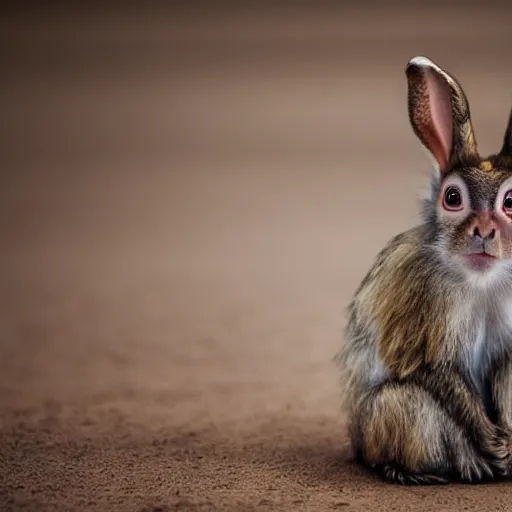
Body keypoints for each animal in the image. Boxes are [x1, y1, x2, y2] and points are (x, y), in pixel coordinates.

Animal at [336, 56, 512, 484]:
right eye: (452, 197)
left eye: (511, 202)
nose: (485, 231)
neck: (480, 281)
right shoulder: (418, 298)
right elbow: (433, 370)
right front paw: (494, 442)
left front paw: (507, 445)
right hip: (388, 419)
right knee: (404, 401)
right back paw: (419, 472)